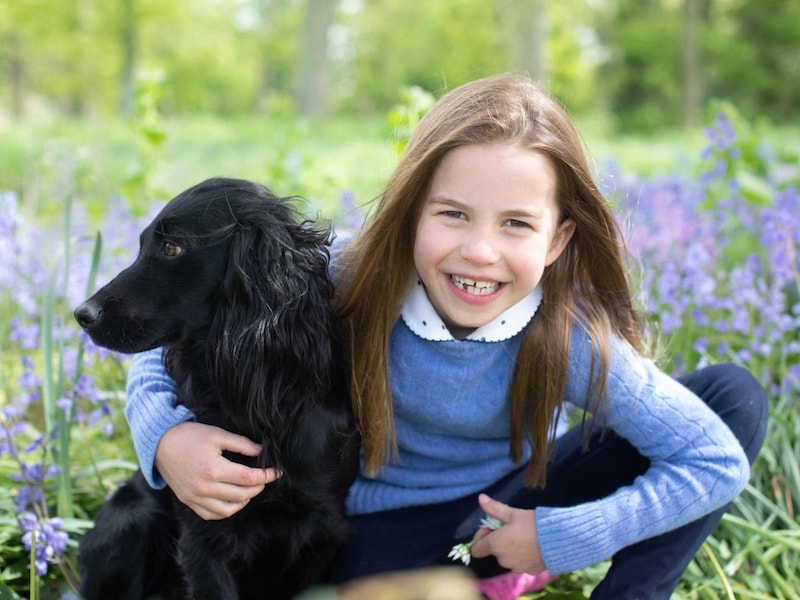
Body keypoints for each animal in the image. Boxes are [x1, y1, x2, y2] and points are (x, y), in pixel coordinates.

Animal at [73, 178, 360, 600]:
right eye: (142, 243)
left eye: (172, 248)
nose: (82, 314)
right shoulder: (204, 535)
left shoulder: (326, 529)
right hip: (131, 519)